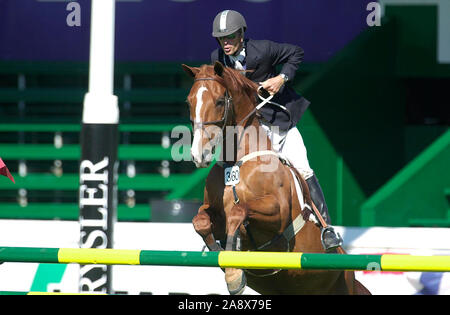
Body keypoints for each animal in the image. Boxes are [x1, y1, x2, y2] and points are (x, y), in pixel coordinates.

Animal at [181, 62, 370, 296]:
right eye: (189, 101)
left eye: (219, 101)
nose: (199, 155)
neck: (236, 162)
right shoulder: (213, 211)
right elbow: (200, 221)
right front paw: (220, 252)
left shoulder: (277, 213)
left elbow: (238, 211)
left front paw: (233, 273)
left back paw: (330, 237)